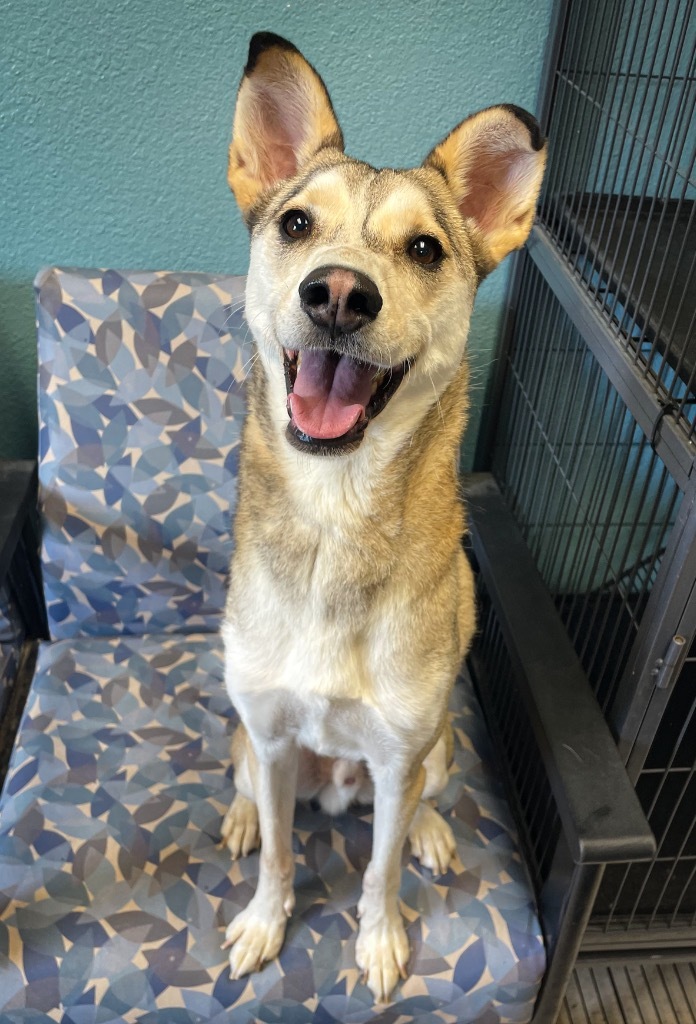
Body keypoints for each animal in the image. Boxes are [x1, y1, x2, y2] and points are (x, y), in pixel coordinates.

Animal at [220, 29, 544, 999]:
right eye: (297, 224)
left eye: (427, 248)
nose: (337, 294)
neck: (337, 518)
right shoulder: (271, 736)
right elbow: (282, 853)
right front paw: (265, 921)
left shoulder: (402, 755)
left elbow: (379, 867)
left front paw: (378, 938)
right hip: (251, 744)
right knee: (251, 793)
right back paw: (240, 817)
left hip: (433, 751)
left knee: (417, 809)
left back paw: (433, 833)